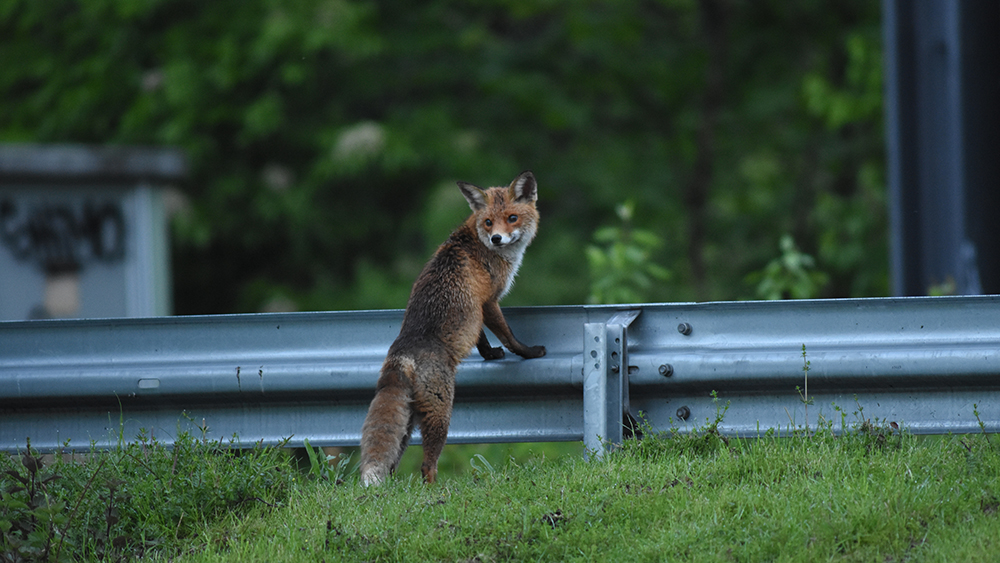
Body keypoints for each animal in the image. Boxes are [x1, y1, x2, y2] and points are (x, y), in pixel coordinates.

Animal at [360, 171, 548, 484]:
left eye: (511, 218)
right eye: (489, 222)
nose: (497, 238)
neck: (477, 240)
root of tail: (403, 353)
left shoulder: (474, 312)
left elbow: (481, 339)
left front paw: (490, 355)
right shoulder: (488, 302)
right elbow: (509, 336)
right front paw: (529, 352)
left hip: (407, 425)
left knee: (393, 463)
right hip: (441, 413)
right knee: (427, 466)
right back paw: (435, 489)